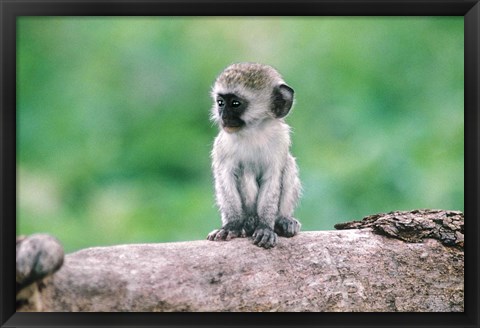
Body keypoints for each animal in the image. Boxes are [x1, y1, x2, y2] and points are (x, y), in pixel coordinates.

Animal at [206, 62, 300, 249]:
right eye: (220, 103)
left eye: (235, 103)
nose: (223, 116)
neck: (253, 131)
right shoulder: (222, 145)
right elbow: (225, 177)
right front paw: (232, 225)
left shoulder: (281, 141)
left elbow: (273, 178)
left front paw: (265, 227)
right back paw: (248, 222)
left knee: (289, 164)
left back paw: (282, 220)